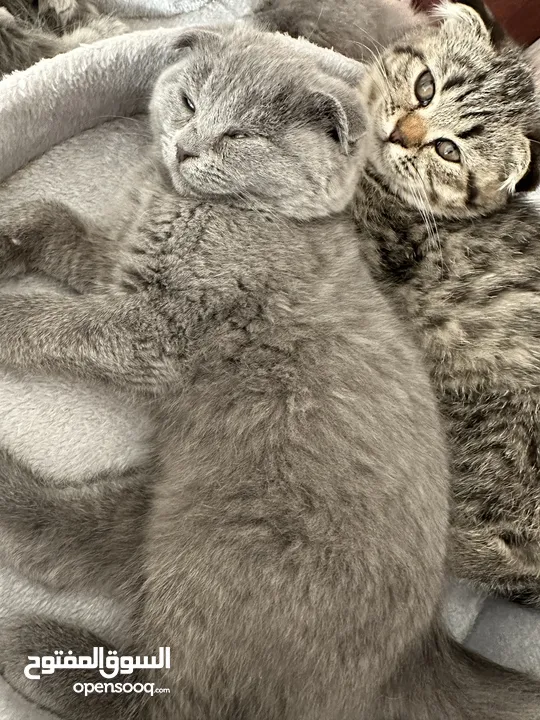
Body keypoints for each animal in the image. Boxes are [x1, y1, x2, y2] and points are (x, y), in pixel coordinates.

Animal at [1, 23, 540, 720]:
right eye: (189, 102)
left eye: (242, 137)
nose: (187, 147)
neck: (182, 203)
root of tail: (415, 654)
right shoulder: (115, 263)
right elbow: (55, 222)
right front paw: (9, 234)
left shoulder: (156, 330)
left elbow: (63, 321)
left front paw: (6, 315)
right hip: (173, 503)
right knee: (75, 541)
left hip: (224, 554)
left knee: (178, 696)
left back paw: (44, 657)